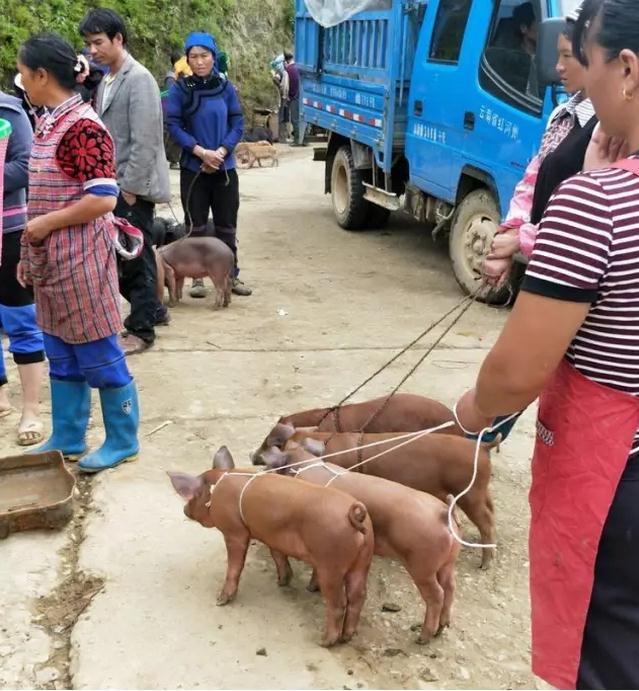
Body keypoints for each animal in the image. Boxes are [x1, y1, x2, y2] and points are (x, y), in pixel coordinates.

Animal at [168, 446, 376, 648]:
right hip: (363, 559)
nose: (184, 510)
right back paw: (347, 637)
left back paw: (324, 642)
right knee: (358, 596)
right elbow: (277, 555)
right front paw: (282, 582)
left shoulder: (235, 532)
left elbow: (235, 565)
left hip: (330, 564)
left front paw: (220, 601)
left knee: (339, 603)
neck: (217, 489)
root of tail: (354, 516)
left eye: (193, 496)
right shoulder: (270, 534)